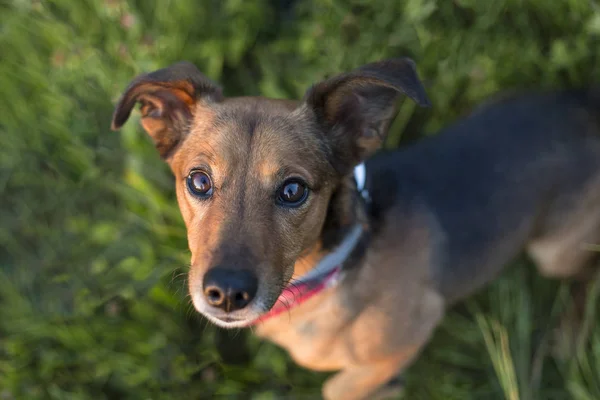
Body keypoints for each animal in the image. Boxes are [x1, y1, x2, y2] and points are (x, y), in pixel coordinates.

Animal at [110, 59, 600, 400]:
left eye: (293, 189)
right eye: (198, 181)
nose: (226, 293)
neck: (335, 265)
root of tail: (585, 104)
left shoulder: (415, 327)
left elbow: (339, 387)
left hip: (553, 254)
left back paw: (569, 337)